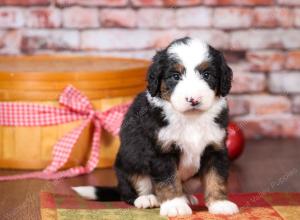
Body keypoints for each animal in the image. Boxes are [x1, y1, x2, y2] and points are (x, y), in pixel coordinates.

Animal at [73, 37, 239, 217]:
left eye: (206, 74)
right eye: (175, 76)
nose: (193, 99)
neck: (190, 118)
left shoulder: (215, 147)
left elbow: (216, 177)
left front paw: (220, 204)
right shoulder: (162, 151)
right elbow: (168, 180)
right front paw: (175, 205)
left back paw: (186, 197)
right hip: (130, 163)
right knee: (131, 191)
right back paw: (147, 199)